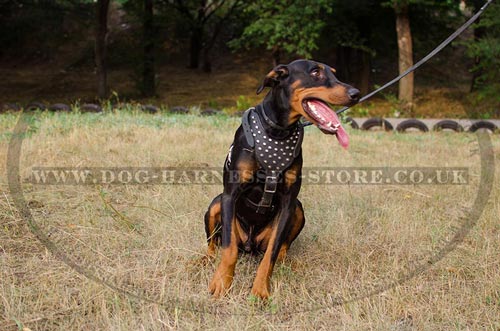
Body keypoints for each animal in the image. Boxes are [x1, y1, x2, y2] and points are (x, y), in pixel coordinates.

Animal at [203, 60, 360, 300]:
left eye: (334, 73)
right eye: (315, 72)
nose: (356, 94)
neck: (278, 131)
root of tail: (249, 245)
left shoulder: (288, 202)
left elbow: (272, 253)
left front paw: (260, 290)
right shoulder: (230, 194)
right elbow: (228, 249)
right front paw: (221, 284)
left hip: (298, 209)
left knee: (281, 247)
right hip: (216, 204)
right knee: (214, 243)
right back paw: (205, 259)